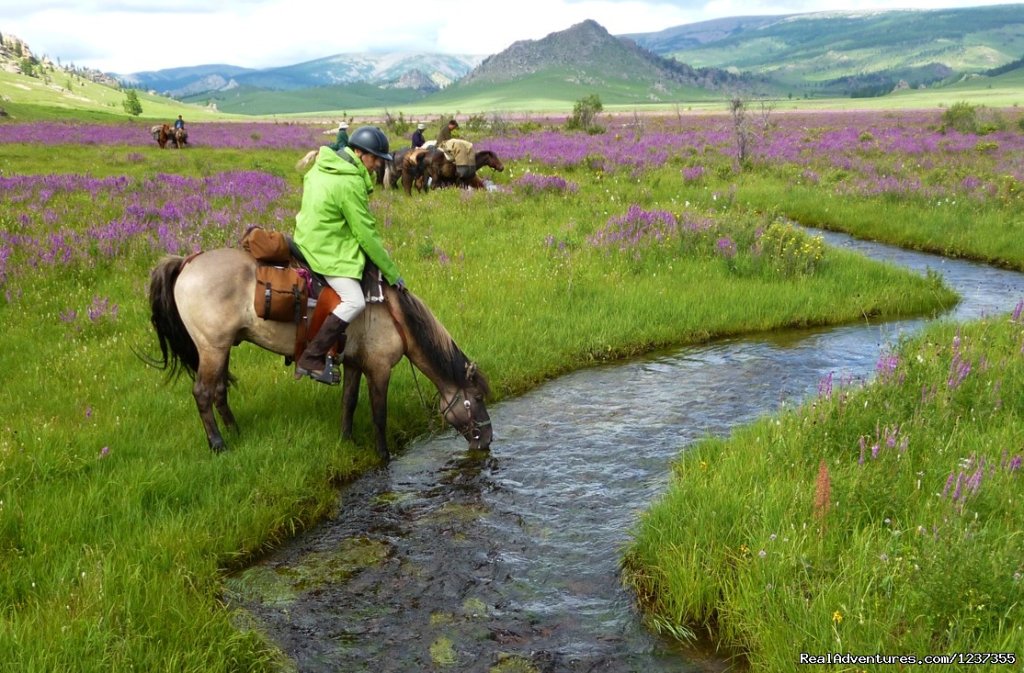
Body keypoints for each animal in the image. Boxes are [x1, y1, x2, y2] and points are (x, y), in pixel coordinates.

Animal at [146, 247, 493, 463]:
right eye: (476, 398)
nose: (487, 441)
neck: (397, 317)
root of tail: (188, 262)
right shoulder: (379, 369)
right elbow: (379, 415)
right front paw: (383, 456)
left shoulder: (354, 364)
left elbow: (349, 403)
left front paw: (347, 441)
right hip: (212, 348)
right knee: (203, 393)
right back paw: (219, 445)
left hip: (221, 349)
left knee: (218, 390)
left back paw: (236, 432)